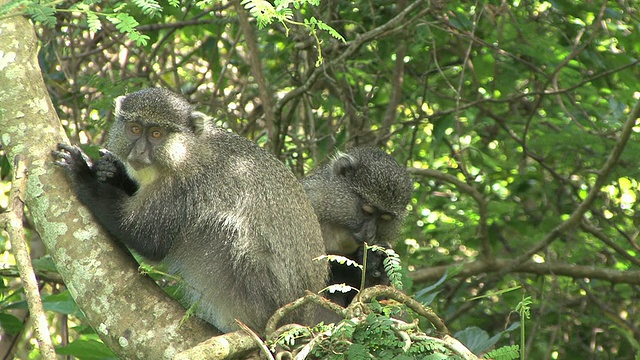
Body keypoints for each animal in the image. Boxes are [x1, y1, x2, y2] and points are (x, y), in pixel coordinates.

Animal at [52, 88, 328, 334]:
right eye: (134, 129)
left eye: (156, 134)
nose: (139, 151)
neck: (186, 153)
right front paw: (110, 171)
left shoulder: (181, 190)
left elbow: (147, 240)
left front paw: (83, 173)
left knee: (223, 229)